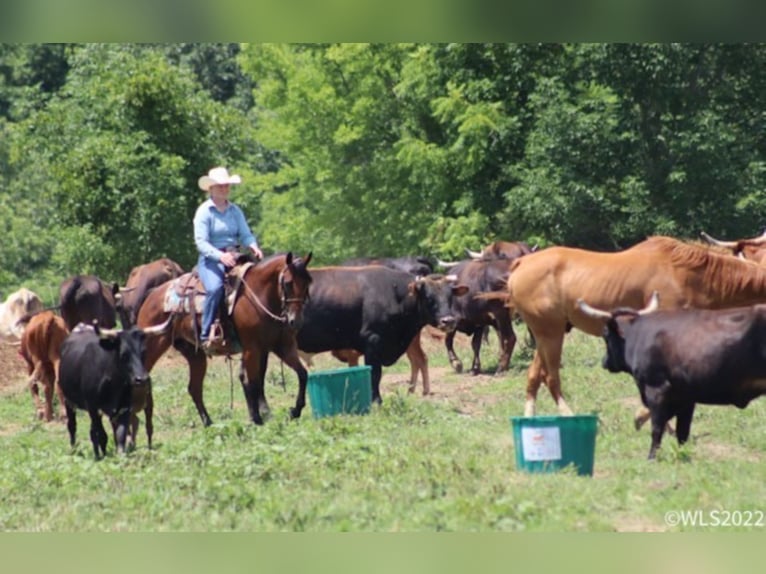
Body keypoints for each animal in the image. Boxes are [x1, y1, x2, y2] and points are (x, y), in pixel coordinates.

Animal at [57, 318, 171, 462]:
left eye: (144, 352)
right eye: (124, 354)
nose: (142, 379)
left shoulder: (125, 409)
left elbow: (120, 436)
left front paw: (120, 457)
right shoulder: (93, 408)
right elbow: (102, 435)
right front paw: (103, 457)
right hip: (69, 401)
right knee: (72, 426)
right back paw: (75, 450)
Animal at [135, 253, 312, 428]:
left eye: (308, 283)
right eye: (288, 283)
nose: (296, 321)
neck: (257, 296)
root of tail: (152, 295)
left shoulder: (282, 346)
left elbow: (302, 374)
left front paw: (295, 411)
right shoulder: (252, 349)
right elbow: (253, 382)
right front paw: (256, 418)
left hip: (195, 355)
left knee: (194, 388)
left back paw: (208, 423)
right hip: (152, 347)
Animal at [298, 268, 468, 402]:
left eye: (450, 297)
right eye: (428, 297)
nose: (448, 321)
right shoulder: (372, 342)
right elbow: (375, 374)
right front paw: (376, 401)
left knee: (419, 359)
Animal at [508, 236, 766, 420]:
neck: (689, 274)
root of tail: (522, 262)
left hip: (547, 334)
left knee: (535, 376)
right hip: (550, 333)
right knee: (551, 377)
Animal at [580, 294, 766, 462]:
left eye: (605, 334)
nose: (604, 362)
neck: (637, 336)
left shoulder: (656, 390)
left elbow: (657, 428)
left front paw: (651, 457)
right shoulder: (686, 398)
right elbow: (682, 432)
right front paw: (682, 456)